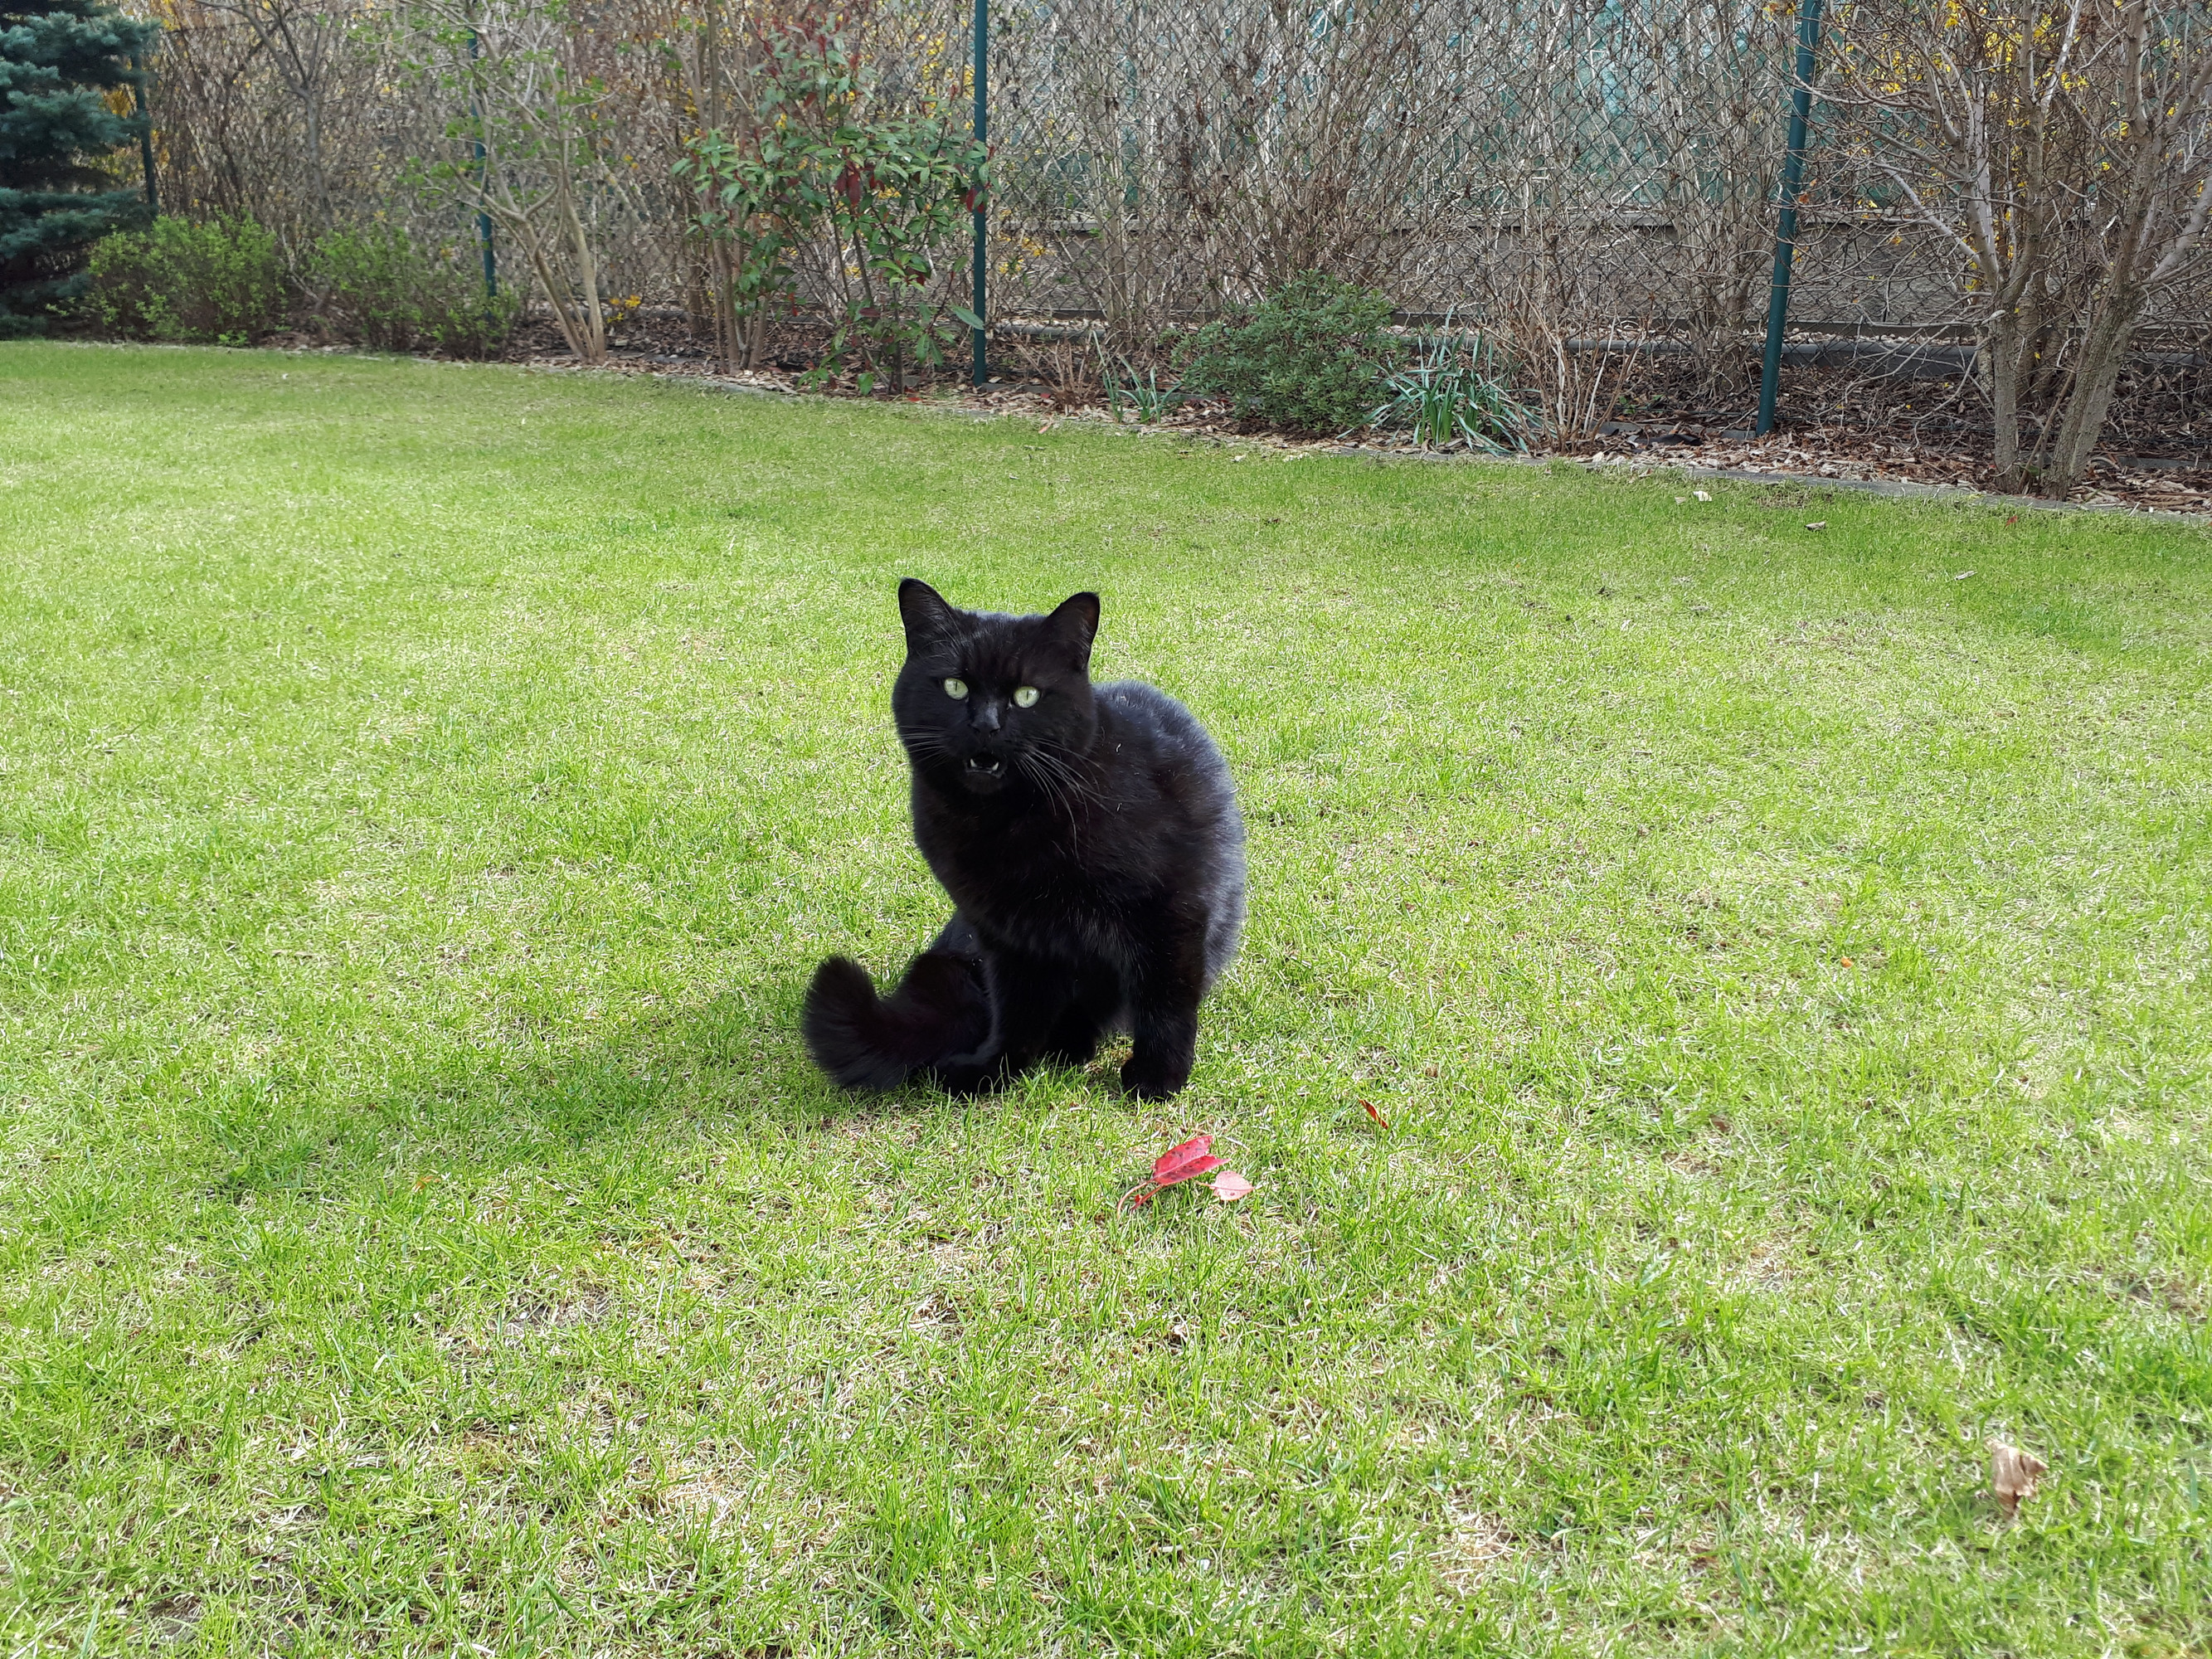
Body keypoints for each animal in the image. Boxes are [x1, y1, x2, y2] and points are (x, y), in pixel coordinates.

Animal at [801, 579, 1246, 1100]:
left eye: (1027, 695)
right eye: (955, 686)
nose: (986, 725)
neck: (1008, 822)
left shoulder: (1171, 909)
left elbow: (1165, 1001)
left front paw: (1158, 1078)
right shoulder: (1007, 934)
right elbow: (1016, 1012)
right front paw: (995, 1071)